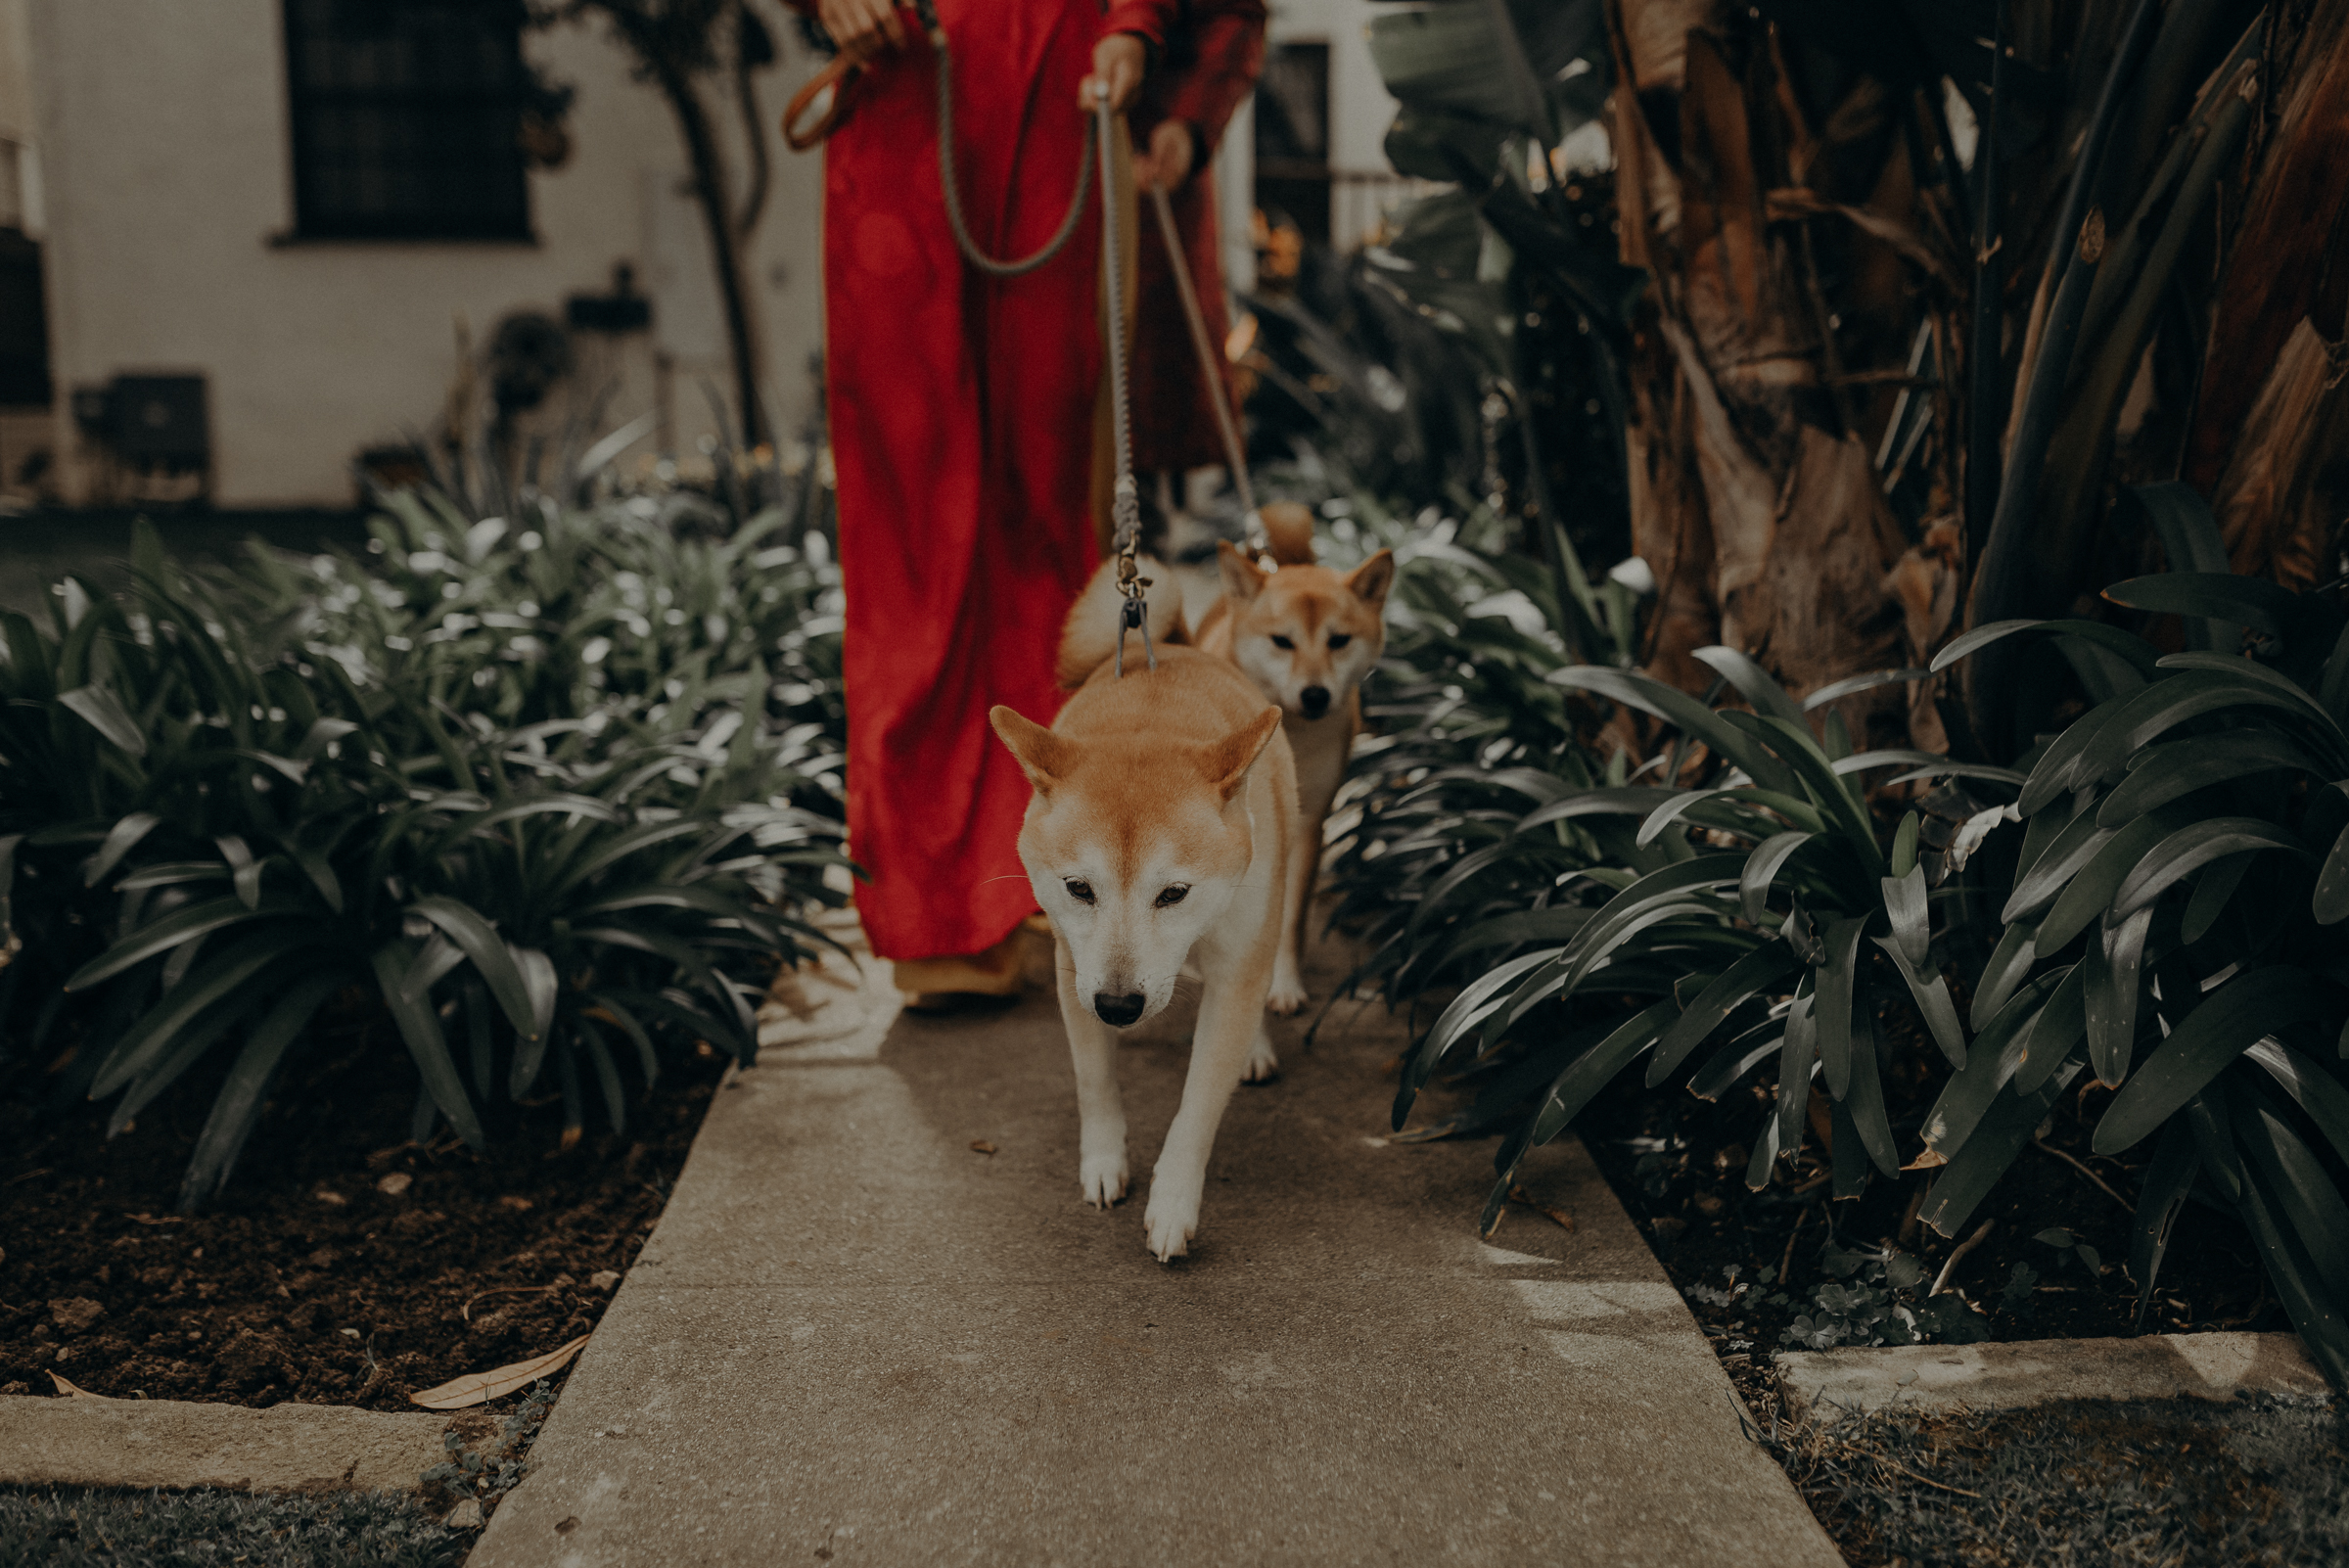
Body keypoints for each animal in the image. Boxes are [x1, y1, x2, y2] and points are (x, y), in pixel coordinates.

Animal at [987, 556, 1296, 1258]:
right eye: (1079, 888)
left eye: (1174, 892)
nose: (1119, 1006)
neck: (1150, 718)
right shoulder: (1073, 966)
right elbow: (1093, 1078)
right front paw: (1104, 1162)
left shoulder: (1238, 963)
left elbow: (1199, 1103)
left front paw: (1174, 1200)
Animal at [1193, 502, 1390, 1018]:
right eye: (1282, 641)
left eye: (1339, 640)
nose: (1315, 695)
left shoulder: (1308, 822)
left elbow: (1289, 919)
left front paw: (1283, 985)